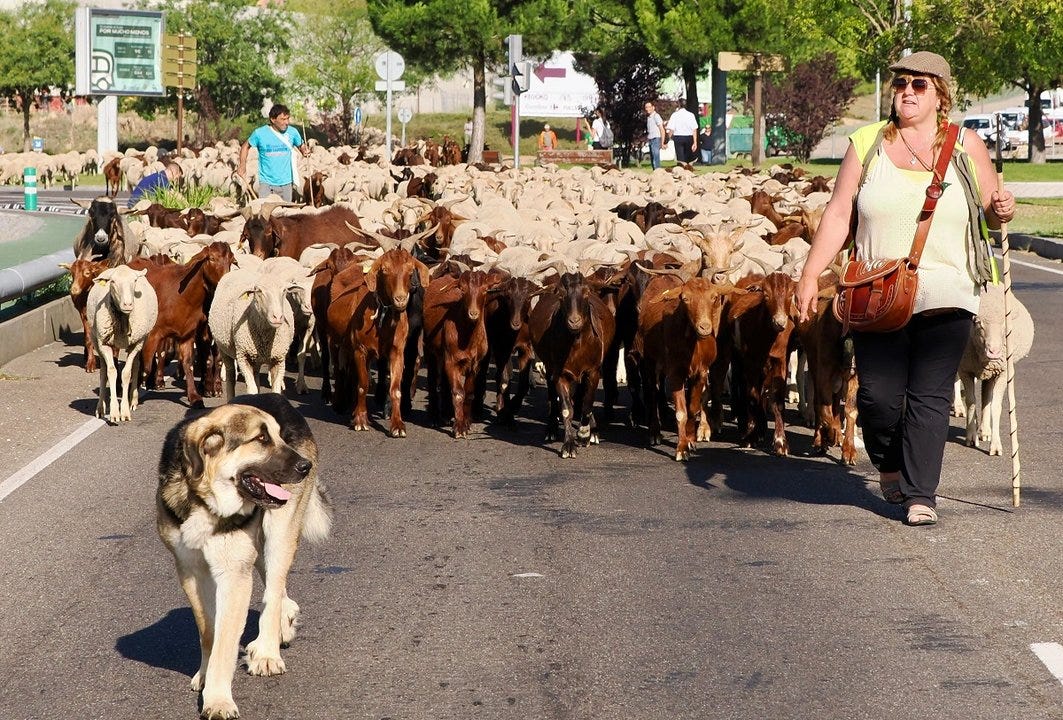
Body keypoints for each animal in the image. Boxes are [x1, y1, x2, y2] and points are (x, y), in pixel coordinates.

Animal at [85, 263, 157, 421]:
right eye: (112, 282)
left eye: (134, 281)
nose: (128, 304)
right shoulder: (104, 343)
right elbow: (111, 372)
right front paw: (114, 412)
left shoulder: (136, 342)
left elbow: (126, 373)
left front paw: (124, 411)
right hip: (96, 338)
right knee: (103, 372)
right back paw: (100, 408)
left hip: (140, 340)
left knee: (136, 365)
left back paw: (133, 401)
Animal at [156, 393, 331, 718]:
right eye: (261, 439)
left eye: (278, 436)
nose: (306, 466)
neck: (206, 500)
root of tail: (277, 396)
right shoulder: (190, 572)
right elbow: (208, 631)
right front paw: (205, 674)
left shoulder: (234, 574)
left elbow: (225, 642)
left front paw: (218, 699)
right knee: (277, 588)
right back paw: (286, 621)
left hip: (279, 530)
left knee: (273, 589)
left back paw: (267, 650)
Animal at [207, 266, 295, 402]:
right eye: (259, 291)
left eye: (284, 290)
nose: (277, 317)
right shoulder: (243, 356)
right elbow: (251, 389)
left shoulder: (279, 359)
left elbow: (275, 390)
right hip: (224, 349)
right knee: (231, 375)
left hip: (256, 357)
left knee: (256, 375)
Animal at [956, 282, 1028, 455]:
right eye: (978, 323)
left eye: (1004, 325)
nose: (993, 351)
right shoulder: (965, 369)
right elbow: (971, 401)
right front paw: (971, 436)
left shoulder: (1002, 372)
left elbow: (995, 405)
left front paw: (995, 445)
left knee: (986, 397)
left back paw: (985, 430)